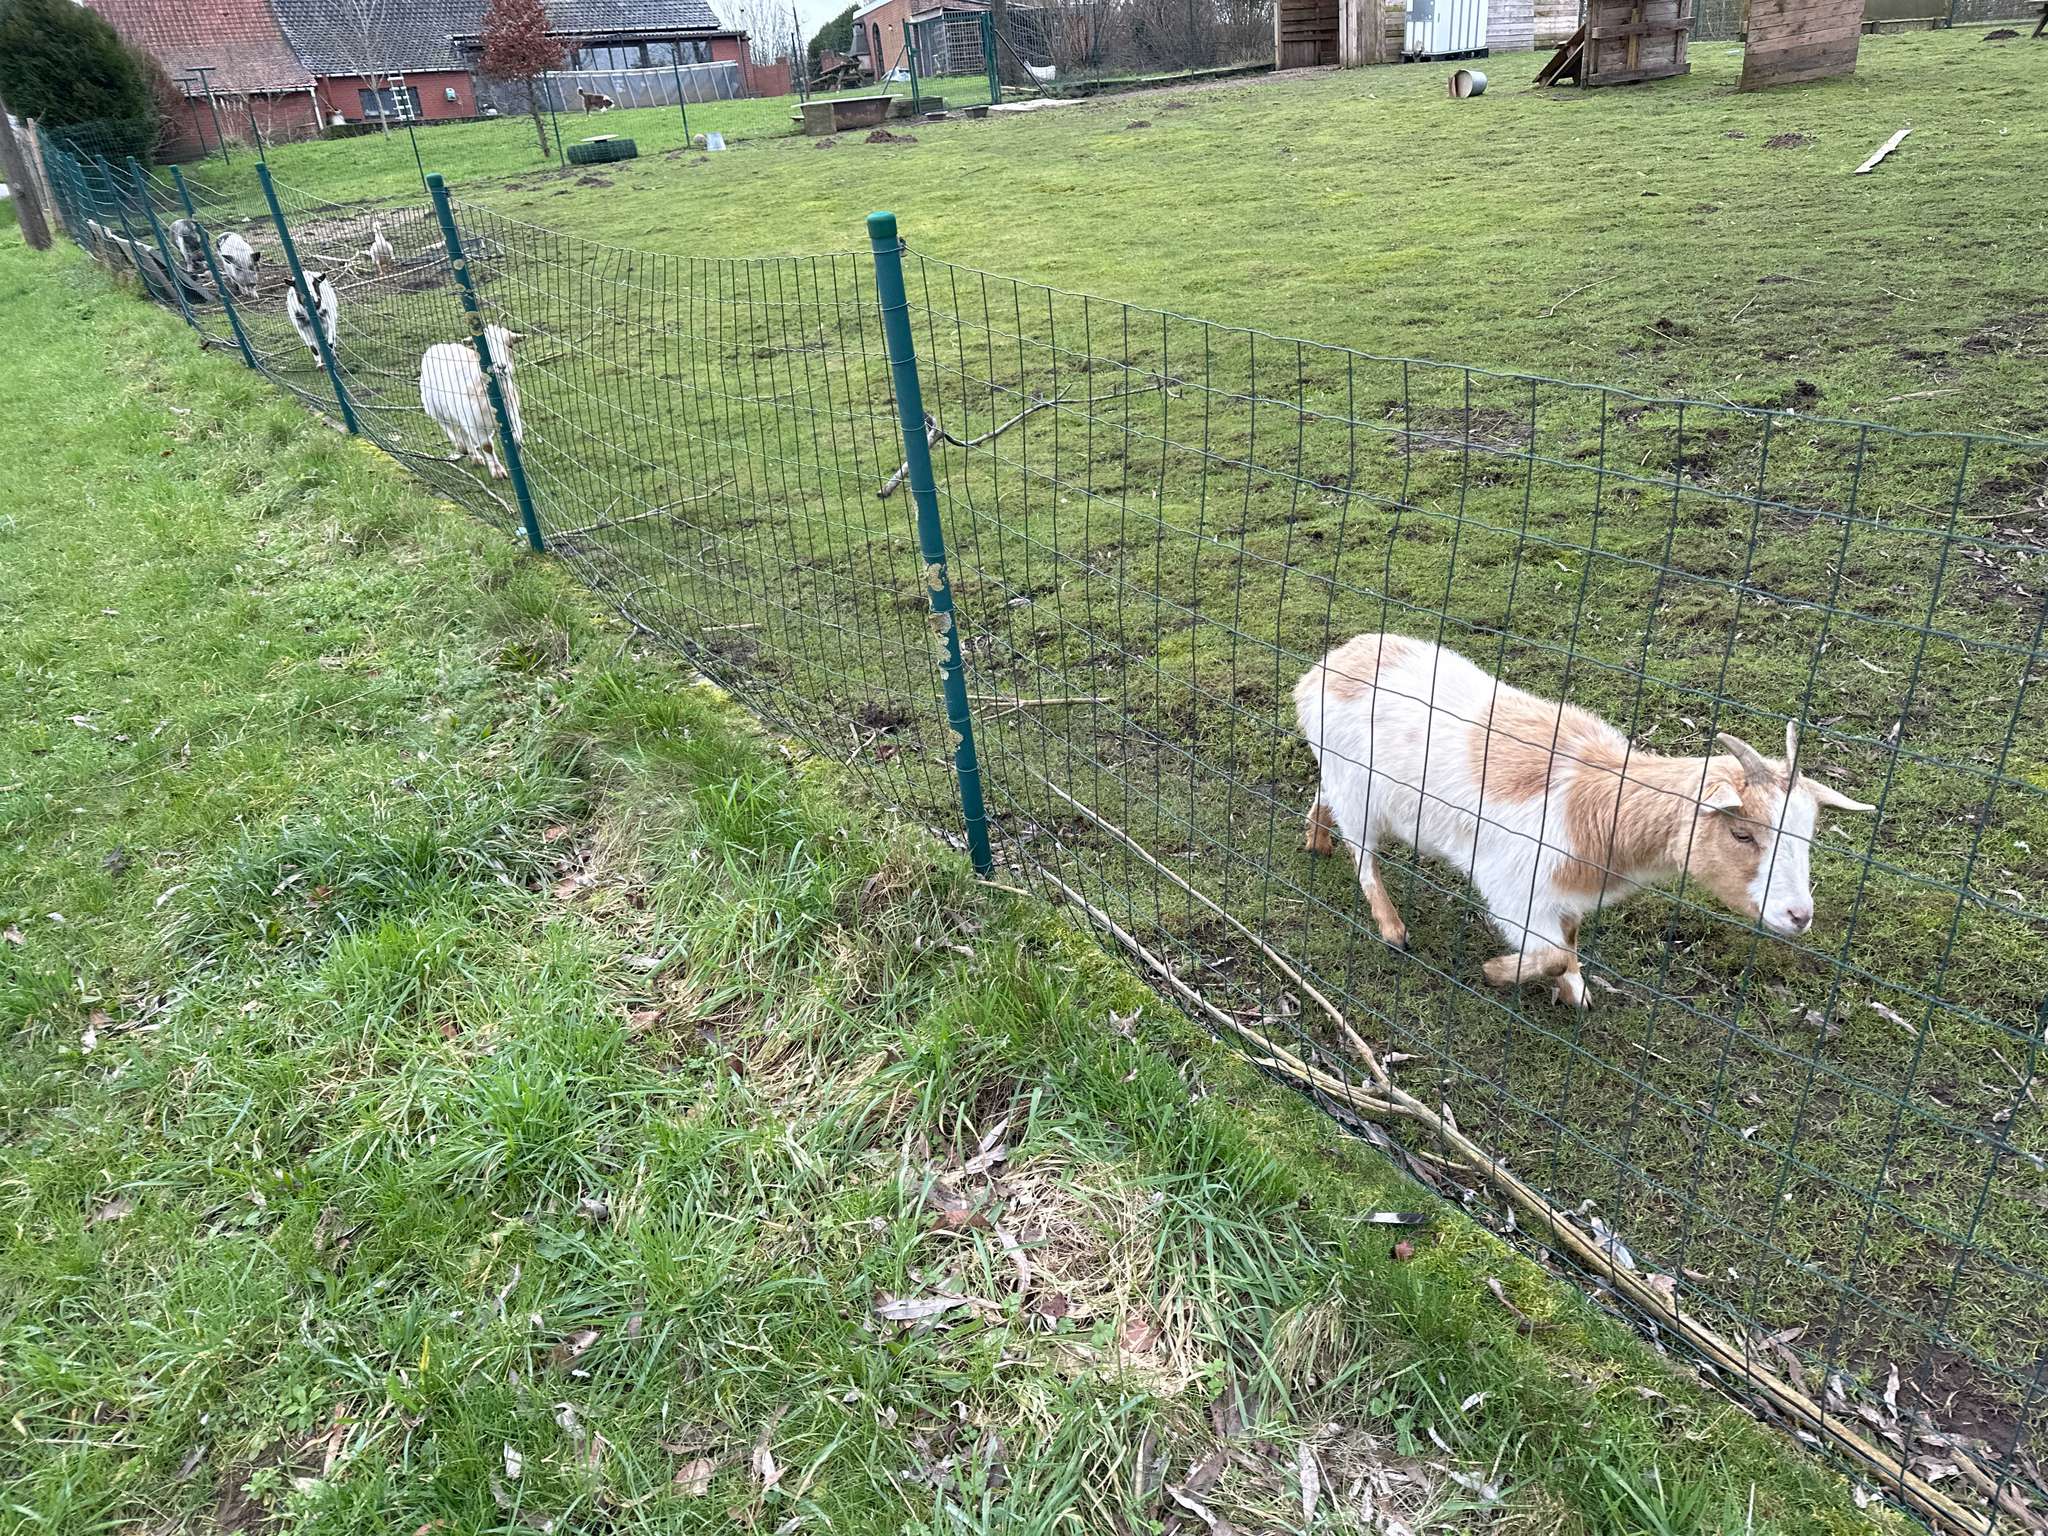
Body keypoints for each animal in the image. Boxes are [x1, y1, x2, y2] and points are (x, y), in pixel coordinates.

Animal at [419, 324, 524, 479]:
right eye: (478, 348)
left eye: (510, 345)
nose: (501, 367)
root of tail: (435, 347)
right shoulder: (474, 423)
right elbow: (487, 446)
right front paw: (497, 472)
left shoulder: (512, 415)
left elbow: (517, 441)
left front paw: (518, 463)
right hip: (436, 409)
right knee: (451, 428)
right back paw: (464, 449)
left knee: (463, 432)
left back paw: (475, 456)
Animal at [1294, 633, 1873, 1008]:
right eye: (1741, 831)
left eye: (1808, 834)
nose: (1799, 915)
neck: (1601, 806)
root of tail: (1326, 666)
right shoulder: (1513, 885)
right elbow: (1550, 952)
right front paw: (1500, 972)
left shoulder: (1566, 892)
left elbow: (1568, 940)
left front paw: (1574, 990)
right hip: (1361, 790)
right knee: (1365, 856)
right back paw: (1392, 928)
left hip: (1349, 779)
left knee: (1326, 799)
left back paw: (1316, 838)